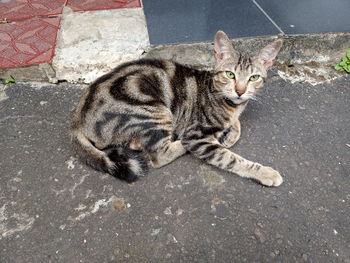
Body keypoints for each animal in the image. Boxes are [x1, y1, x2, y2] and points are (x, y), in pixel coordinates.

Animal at [70, 31, 284, 187]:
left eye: (254, 78)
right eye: (230, 74)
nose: (240, 91)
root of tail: (77, 120)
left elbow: (236, 125)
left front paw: (231, 132)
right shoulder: (197, 134)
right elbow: (231, 159)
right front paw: (265, 172)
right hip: (157, 110)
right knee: (160, 155)